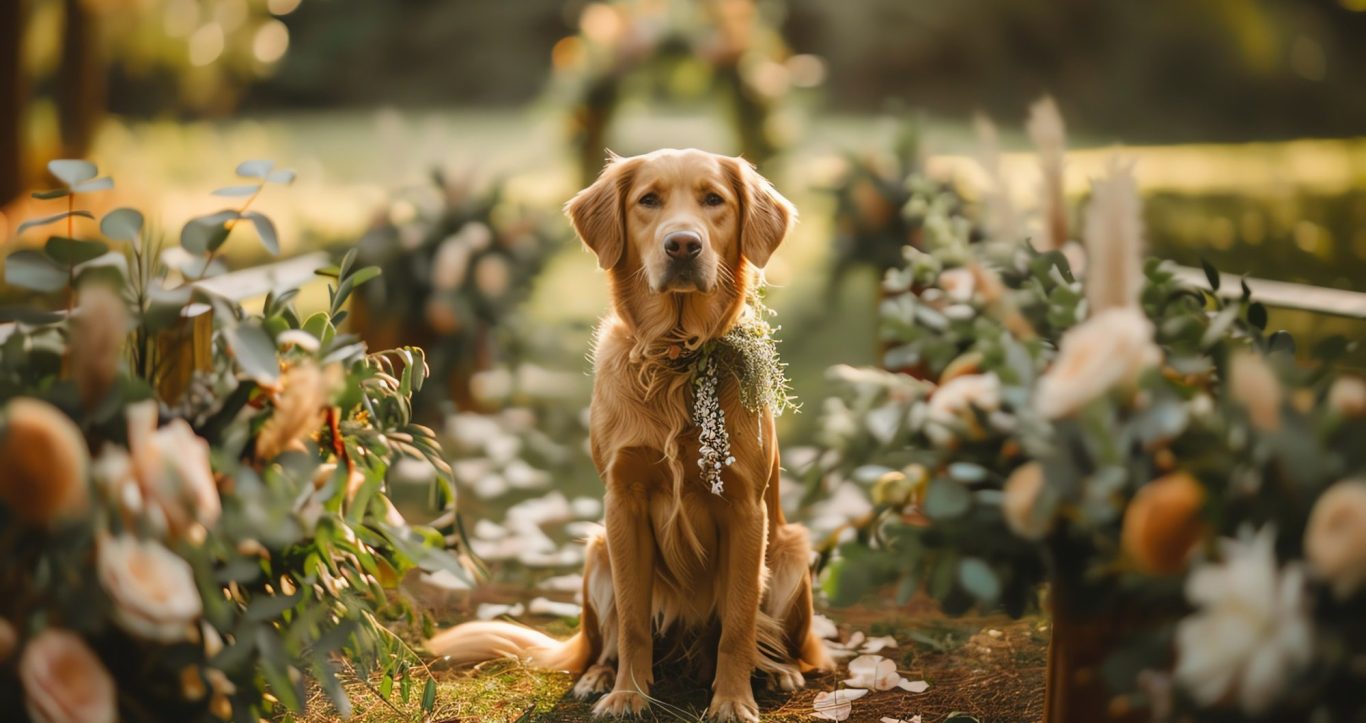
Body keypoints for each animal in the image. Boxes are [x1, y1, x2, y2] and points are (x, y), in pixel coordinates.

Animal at [426, 149, 830, 716]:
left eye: (714, 200)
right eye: (649, 200)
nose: (682, 244)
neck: (676, 358)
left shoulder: (746, 510)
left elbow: (738, 625)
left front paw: (732, 700)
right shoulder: (624, 501)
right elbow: (635, 621)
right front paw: (628, 695)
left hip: (791, 550)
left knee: (785, 643)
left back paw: (778, 671)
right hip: (597, 550)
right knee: (606, 640)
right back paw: (599, 674)